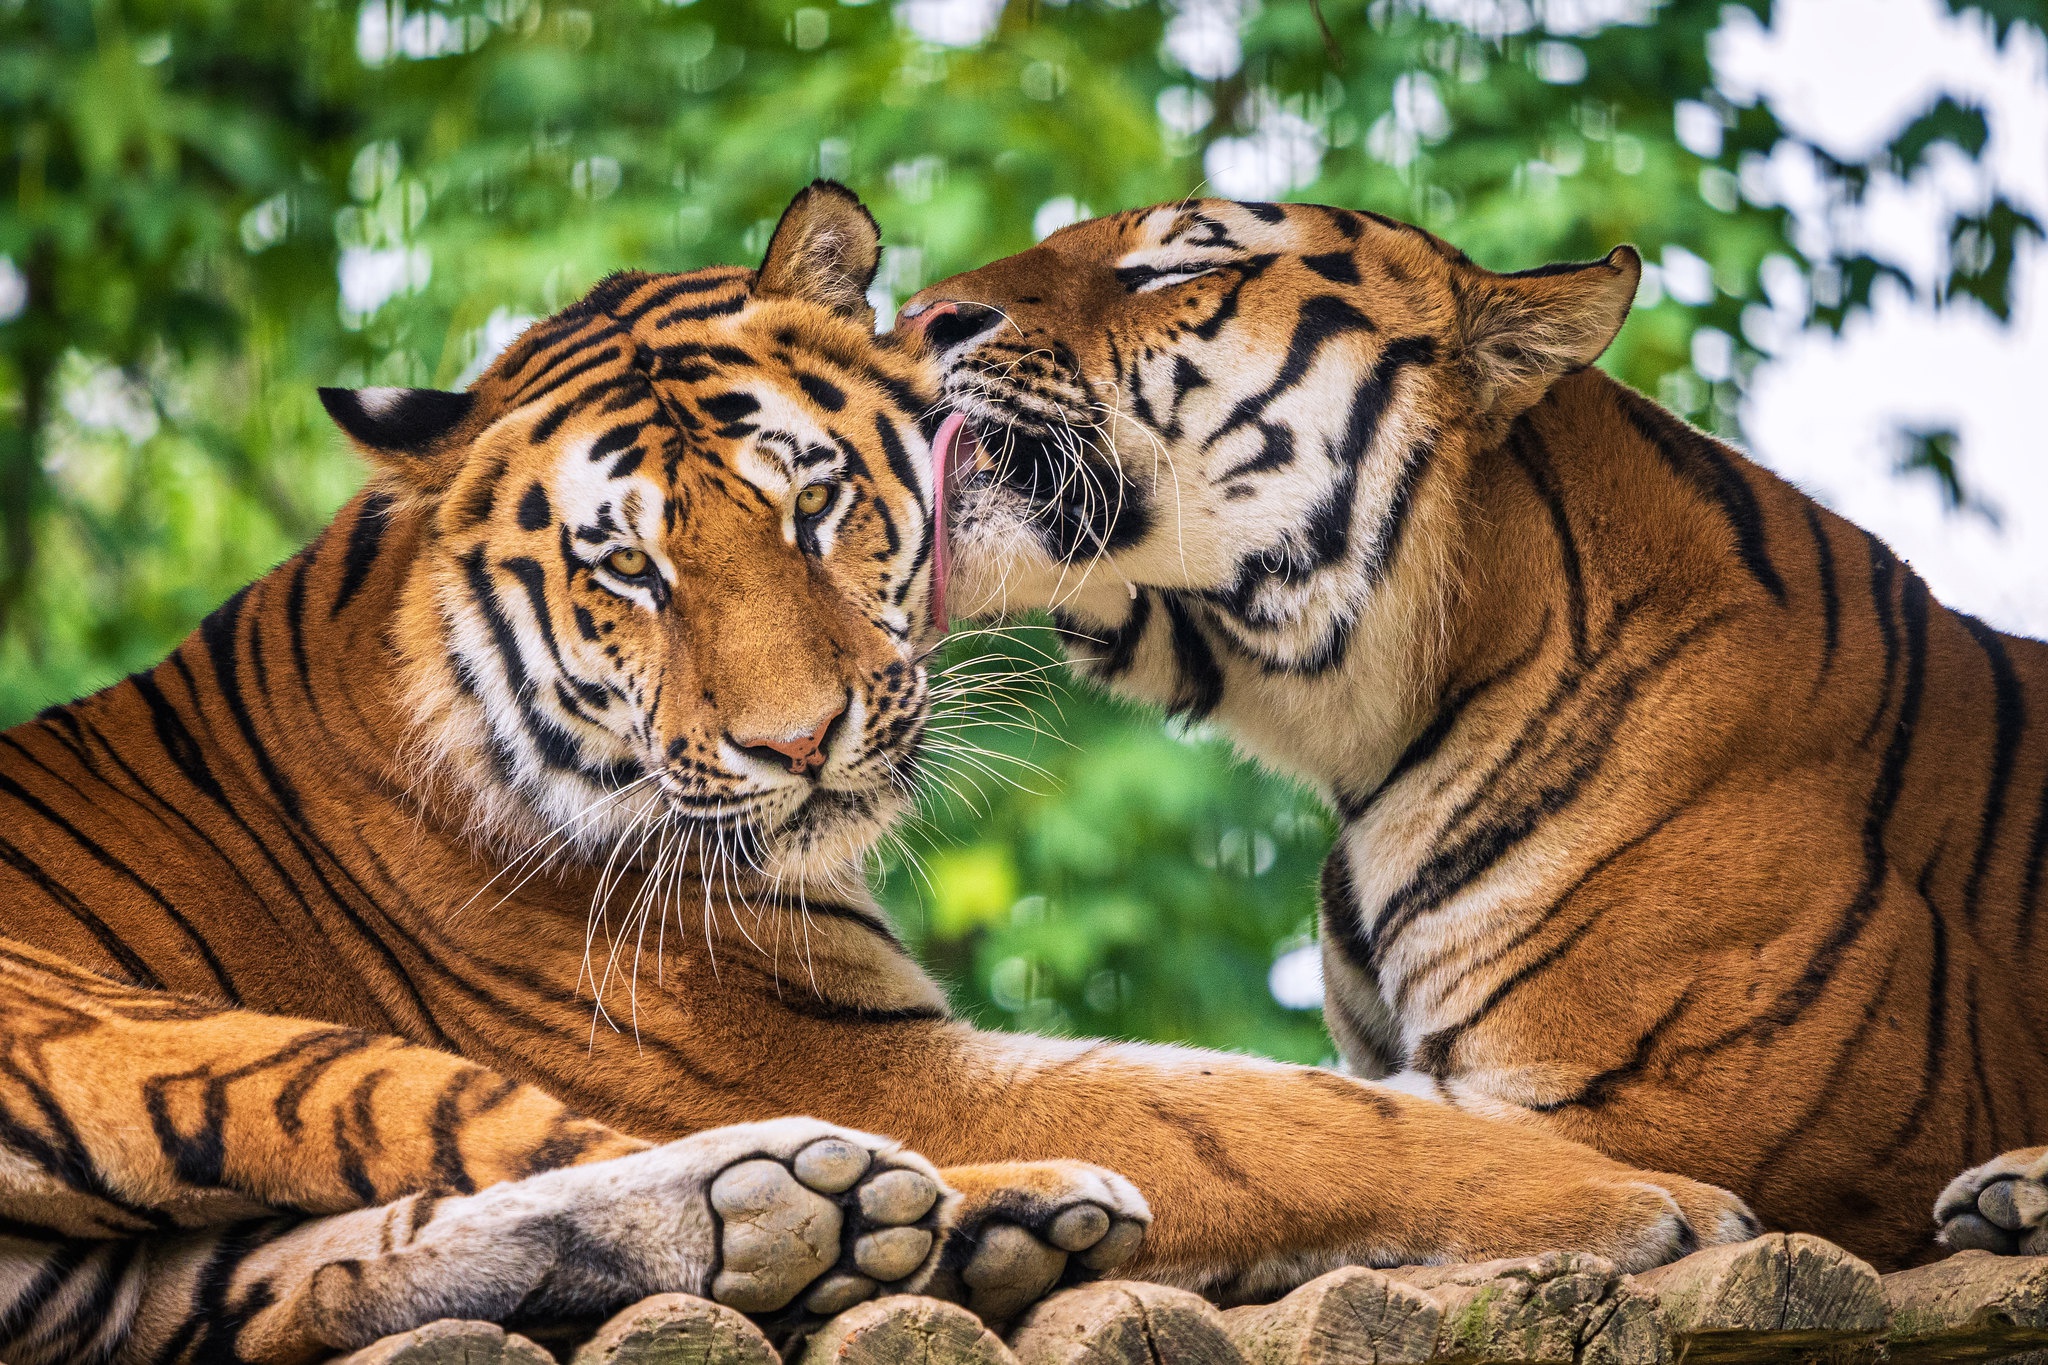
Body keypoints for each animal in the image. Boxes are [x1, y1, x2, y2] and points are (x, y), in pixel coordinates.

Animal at [0, 184, 1761, 1365]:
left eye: (814, 500)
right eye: (625, 568)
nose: (800, 741)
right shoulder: (857, 1059)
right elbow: (1261, 1117)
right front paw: (1649, 1193)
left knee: (310, 1278)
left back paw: (937, 1228)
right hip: (136, 1028)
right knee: (499, 1153)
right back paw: (914, 1214)